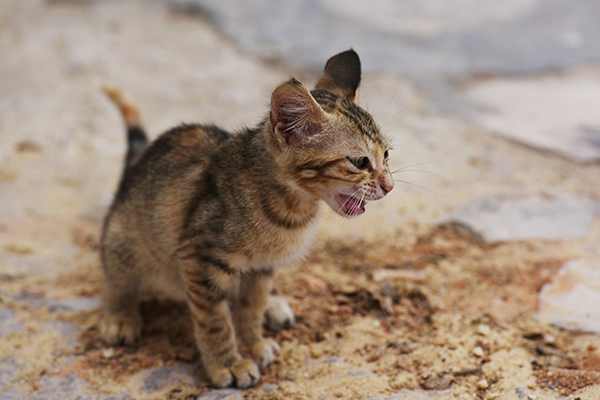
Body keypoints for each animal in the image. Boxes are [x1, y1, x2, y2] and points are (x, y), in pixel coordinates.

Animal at [99, 49, 394, 388]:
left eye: (387, 154)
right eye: (359, 161)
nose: (390, 185)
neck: (290, 209)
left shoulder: (263, 266)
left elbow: (249, 308)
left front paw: (253, 343)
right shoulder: (198, 258)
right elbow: (215, 321)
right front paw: (228, 364)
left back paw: (272, 307)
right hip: (124, 238)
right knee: (117, 276)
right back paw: (121, 316)